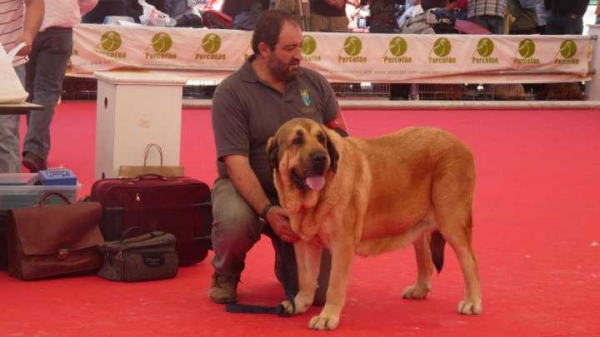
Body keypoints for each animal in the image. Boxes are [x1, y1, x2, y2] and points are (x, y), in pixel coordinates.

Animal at [268, 117, 482, 328]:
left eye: (322, 139)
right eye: (297, 141)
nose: (321, 157)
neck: (314, 199)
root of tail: (460, 143)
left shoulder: (342, 245)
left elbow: (334, 285)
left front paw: (327, 317)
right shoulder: (305, 244)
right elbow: (306, 279)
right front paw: (298, 303)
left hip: (451, 221)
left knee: (469, 261)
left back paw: (472, 302)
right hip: (418, 224)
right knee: (425, 259)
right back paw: (419, 290)